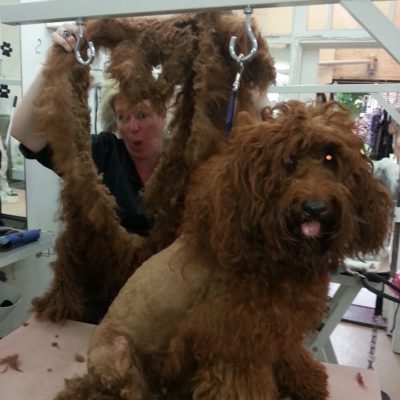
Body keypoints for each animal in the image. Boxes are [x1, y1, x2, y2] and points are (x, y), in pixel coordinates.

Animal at [54, 101, 394, 398]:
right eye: (287, 163)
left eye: (330, 158)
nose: (315, 208)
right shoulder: (233, 346)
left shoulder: (277, 331)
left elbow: (292, 357)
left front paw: (308, 385)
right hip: (118, 352)